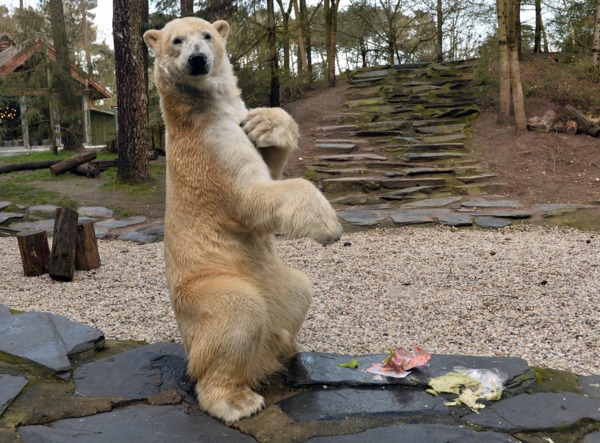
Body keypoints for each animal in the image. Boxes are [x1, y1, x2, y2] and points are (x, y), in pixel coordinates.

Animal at [143, 19, 342, 424]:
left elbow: (270, 165)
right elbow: (250, 199)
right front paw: (328, 224)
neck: (200, 111)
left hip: (275, 281)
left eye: (207, 35)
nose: (198, 60)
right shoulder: (210, 146)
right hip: (205, 293)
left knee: (298, 289)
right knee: (238, 313)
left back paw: (286, 351)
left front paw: (265, 123)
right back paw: (236, 399)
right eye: (176, 41)